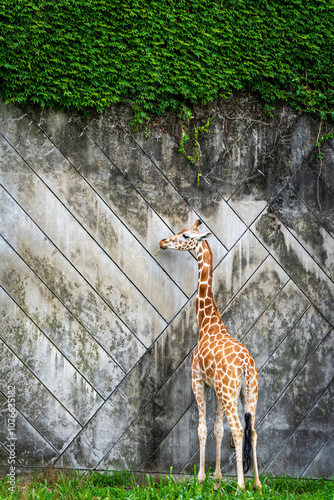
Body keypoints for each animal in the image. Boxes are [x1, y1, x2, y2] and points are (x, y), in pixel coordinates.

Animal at [159, 221, 260, 490]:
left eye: (185, 235)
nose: (163, 242)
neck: (207, 324)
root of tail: (246, 365)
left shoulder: (198, 381)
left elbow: (203, 428)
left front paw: (202, 479)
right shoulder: (216, 387)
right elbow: (217, 429)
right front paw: (216, 481)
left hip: (230, 392)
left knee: (238, 429)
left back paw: (241, 486)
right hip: (249, 393)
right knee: (252, 430)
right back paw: (257, 485)